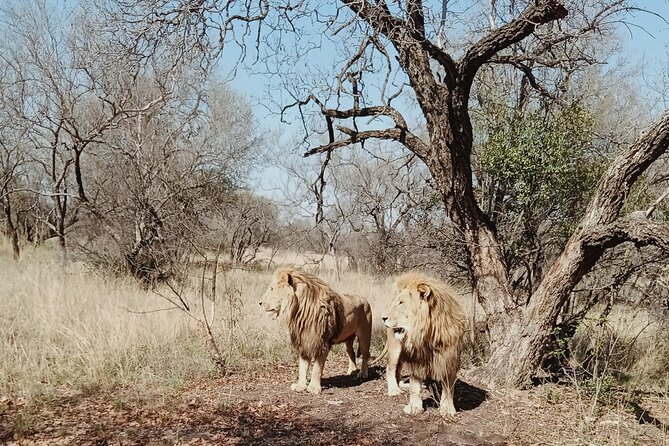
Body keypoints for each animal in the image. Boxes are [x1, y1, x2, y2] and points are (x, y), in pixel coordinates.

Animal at [379, 272, 466, 416]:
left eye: (401, 303)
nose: (383, 318)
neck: (427, 336)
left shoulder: (450, 359)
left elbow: (448, 387)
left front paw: (447, 409)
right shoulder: (416, 359)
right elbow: (415, 387)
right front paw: (414, 407)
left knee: (398, 371)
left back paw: (403, 385)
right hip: (395, 349)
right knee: (390, 368)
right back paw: (394, 390)